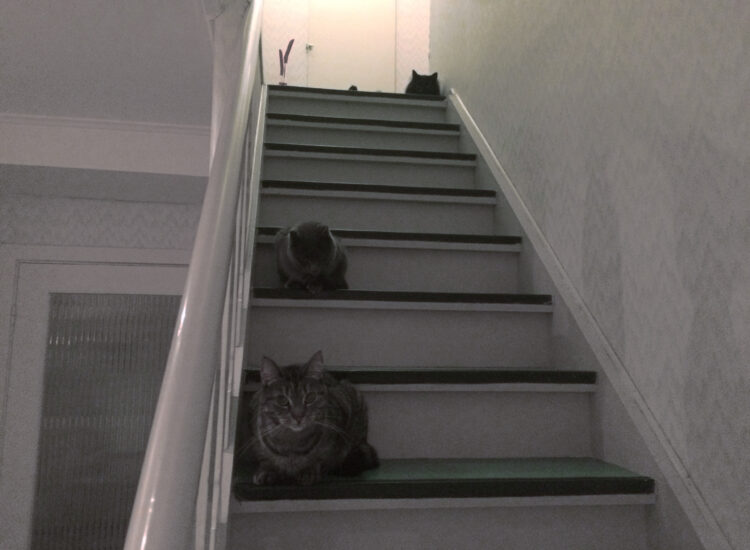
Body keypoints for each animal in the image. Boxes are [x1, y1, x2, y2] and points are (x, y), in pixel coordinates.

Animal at [239, 354, 382, 488]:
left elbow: (320, 458)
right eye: (282, 400)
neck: (292, 442)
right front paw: (267, 470)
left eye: (310, 397)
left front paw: (309, 470)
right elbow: (265, 458)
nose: (298, 415)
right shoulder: (256, 436)